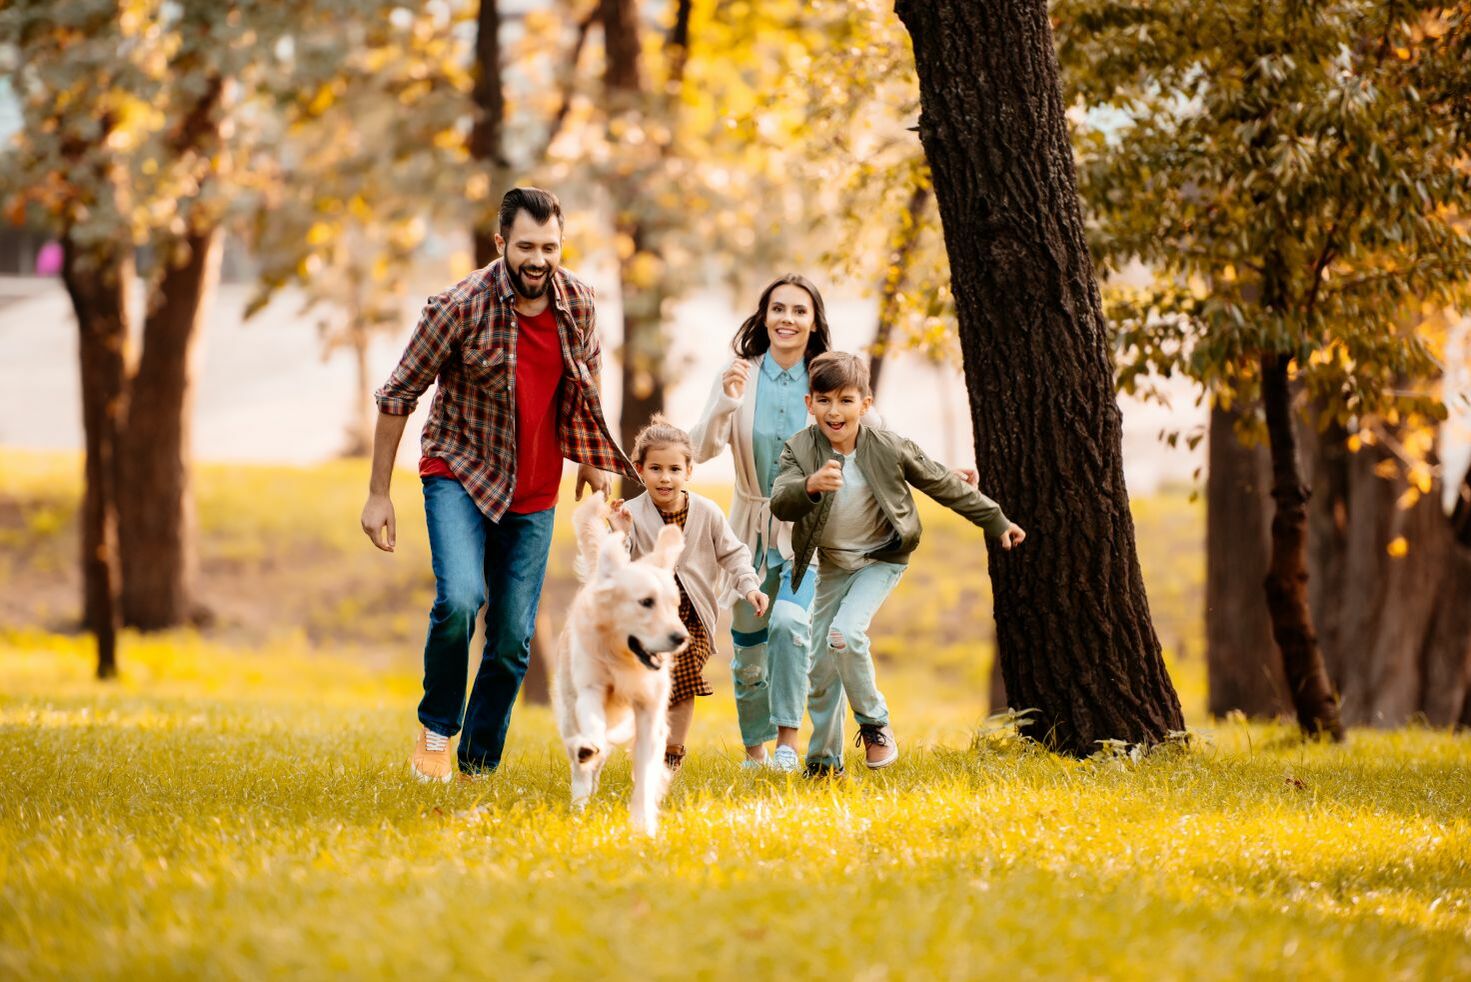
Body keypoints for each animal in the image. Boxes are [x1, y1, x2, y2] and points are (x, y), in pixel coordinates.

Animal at [553, 491, 688, 834]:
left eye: (674, 605)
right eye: (646, 602)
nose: (681, 638)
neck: (622, 660)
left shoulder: (649, 709)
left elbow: (646, 773)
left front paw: (644, 826)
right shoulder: (591, 689)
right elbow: (591, 731)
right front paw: (588, 751)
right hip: (568, 705)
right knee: (580, 757)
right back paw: (580, 800)